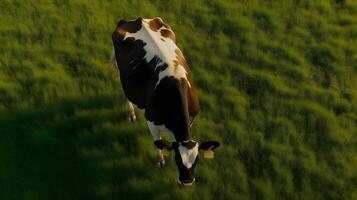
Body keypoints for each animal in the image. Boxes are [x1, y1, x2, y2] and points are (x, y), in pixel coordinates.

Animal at [110, 17, 218, 186]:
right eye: (177, 159)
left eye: (197, 160)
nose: (187, 181)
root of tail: (136, 20)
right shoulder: (151, 121)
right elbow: (157, 141)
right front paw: (159, 159)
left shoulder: (189, 121)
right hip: (123, 73)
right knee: (127, 94)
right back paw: (130, 113)